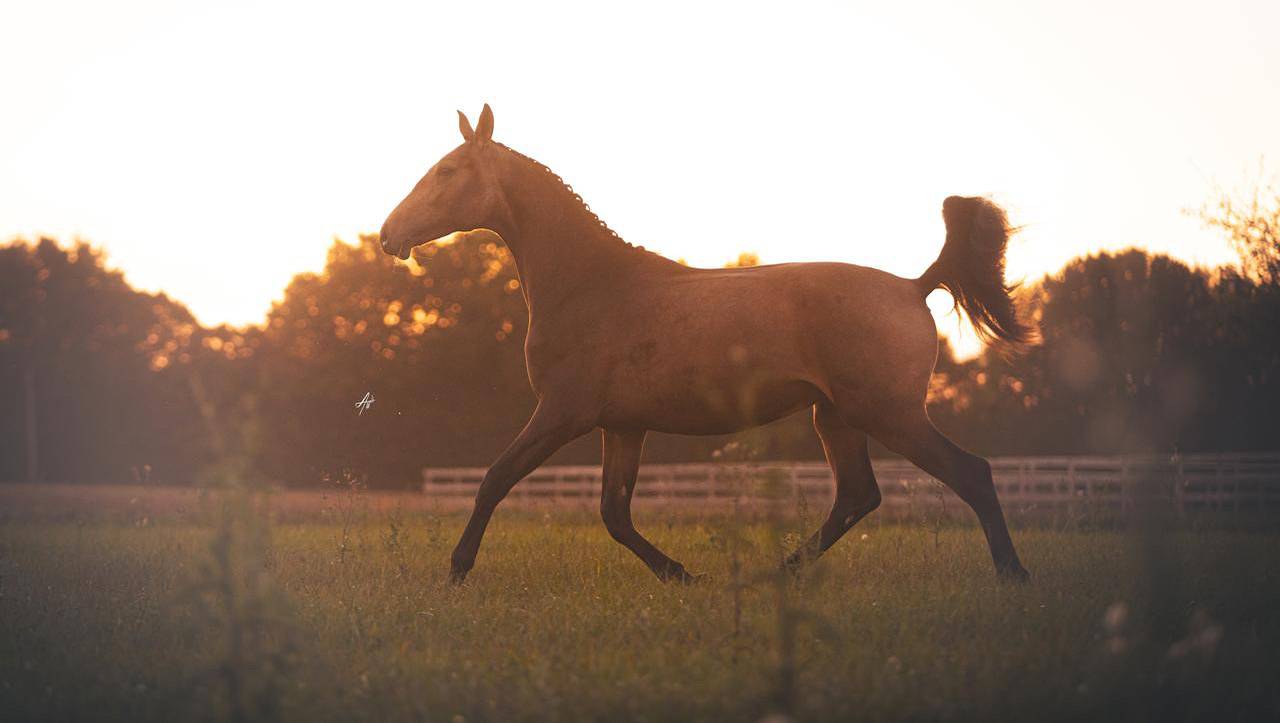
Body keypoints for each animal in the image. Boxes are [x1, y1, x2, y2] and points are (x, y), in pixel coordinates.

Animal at [379, 104, 1034, 584]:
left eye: (446, 172)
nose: (388, 235)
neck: (591, 284)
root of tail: (913, 285)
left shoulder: (564, 412)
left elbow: (496, 479)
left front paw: (456, 572)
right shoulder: (622, 425)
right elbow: (614, 514)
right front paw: (682, 575)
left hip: (888, 414)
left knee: (971, 474)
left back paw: (1014, 576)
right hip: (836, 417)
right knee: (858, 495)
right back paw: (777, 574)